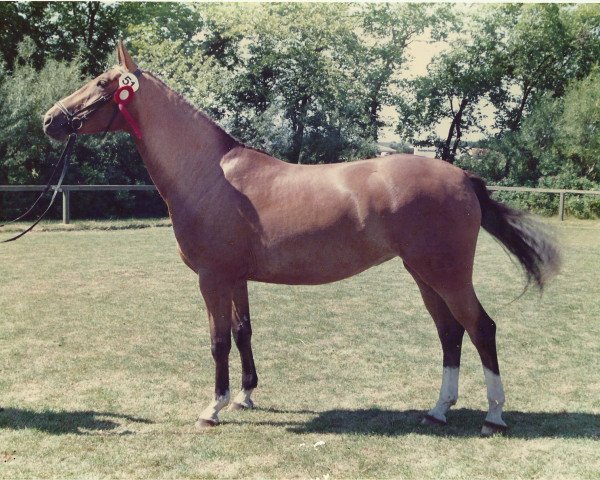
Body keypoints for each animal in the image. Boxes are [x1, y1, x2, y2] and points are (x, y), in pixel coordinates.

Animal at [43, 43, 564, 436]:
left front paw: (213, 408)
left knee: (481, 328)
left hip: (447, 274)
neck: (211, 175)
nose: (50, 120)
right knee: (450, 333)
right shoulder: (236, 278)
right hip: (424, 275)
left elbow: (217, 340)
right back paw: (438, 410)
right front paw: (246, 396)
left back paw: (493, 417)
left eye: (103, 83)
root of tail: (463, 176)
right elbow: (243, 332)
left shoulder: (212, 278)